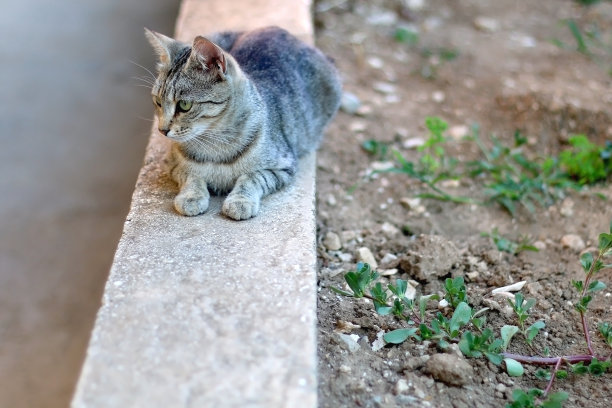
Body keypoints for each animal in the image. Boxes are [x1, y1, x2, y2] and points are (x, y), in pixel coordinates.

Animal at [146, 25, 342, 220]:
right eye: (158, 101)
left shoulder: (283, 166)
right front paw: (191, 196)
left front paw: (240, 201)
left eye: (184, 105)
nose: (162, 130)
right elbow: (191, 175)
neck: (215, 143)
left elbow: (251, 178)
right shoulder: (172, 164)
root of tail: (276, 29)